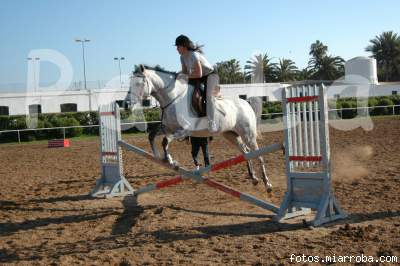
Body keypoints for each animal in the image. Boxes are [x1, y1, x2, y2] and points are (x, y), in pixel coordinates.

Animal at [130, 65, 274, 192]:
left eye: (138, 83)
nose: (128, 104)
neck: (174, 99)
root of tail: (246, 103)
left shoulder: (184, 130)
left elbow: (165, 141)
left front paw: (172, 162)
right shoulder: (168, 128)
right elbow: (152, 135)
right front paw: (158, 156)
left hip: (248, 134)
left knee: (258, 155)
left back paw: (267, 184)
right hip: (231, 134)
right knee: (246, 151)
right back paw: (253, 178)